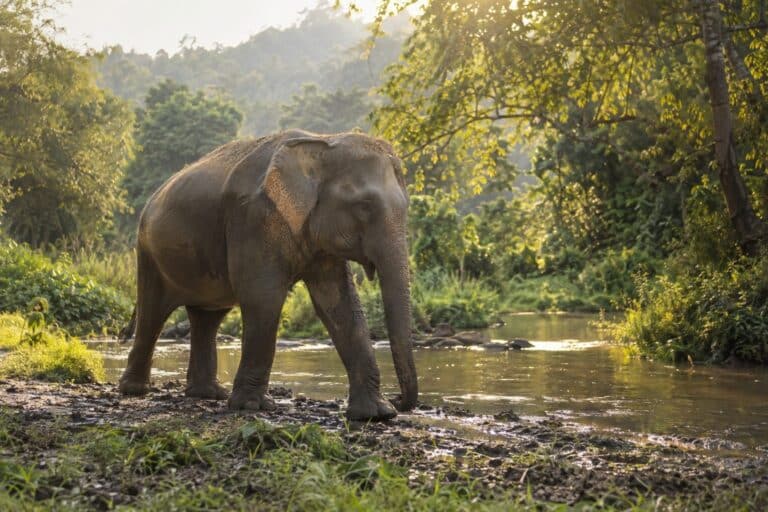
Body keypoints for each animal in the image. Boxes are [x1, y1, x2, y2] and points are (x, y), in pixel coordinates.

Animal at [118, 130, 418, 421]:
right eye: (364, 205)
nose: (398, 400)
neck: (321, 142)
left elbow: (339, 303)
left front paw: (376, 414)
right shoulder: (253, 218)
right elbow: (263, 297)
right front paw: (252, 406)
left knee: (207, 318)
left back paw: (208, 394)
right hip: (147, 253)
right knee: (153, 313)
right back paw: (134, 390)